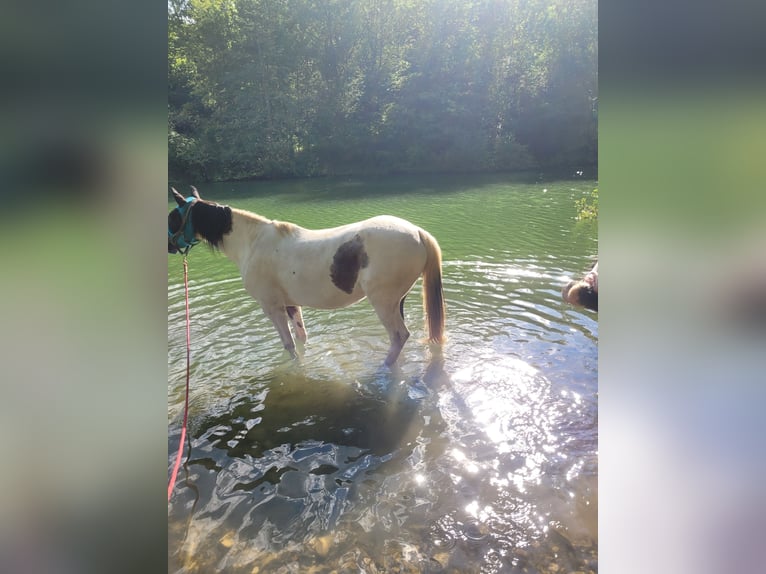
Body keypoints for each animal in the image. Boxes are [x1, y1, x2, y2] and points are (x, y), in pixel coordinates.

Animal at [168, 189, 444, 368]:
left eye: (172, 218)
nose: (169, 246)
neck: (252, 242)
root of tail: (418, 232)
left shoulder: (272, 307)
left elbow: (288, 345)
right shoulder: (291, 304)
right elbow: (301, 339)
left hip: (383, 302)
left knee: (399, 336)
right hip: (397, 301)